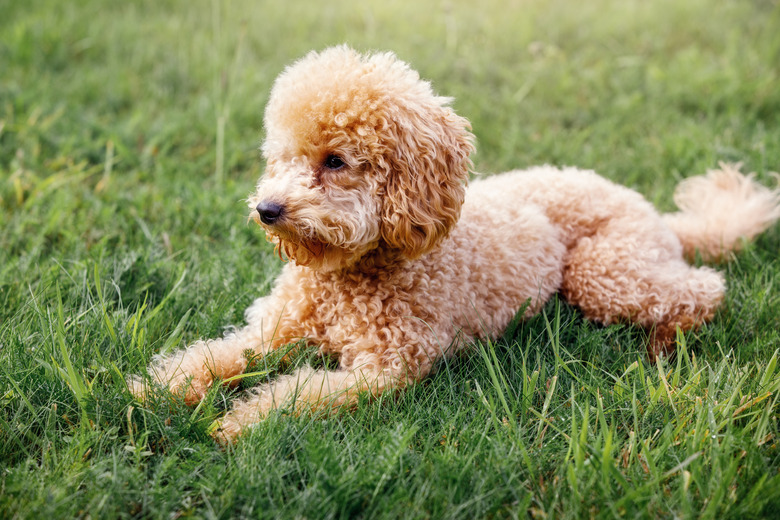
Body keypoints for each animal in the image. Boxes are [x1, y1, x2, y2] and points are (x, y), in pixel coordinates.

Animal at [129, 45, 780, 442]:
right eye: (280, 157)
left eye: (335, 161)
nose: (267, 211)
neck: (349, 277)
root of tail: (652, 212)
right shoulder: (273, 330)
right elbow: (217, 355)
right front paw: (158, 388)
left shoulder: (385, 367)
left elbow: (295, 394)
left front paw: (239, 424)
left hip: (605, 269)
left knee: (705, 289)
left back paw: (664, 343)